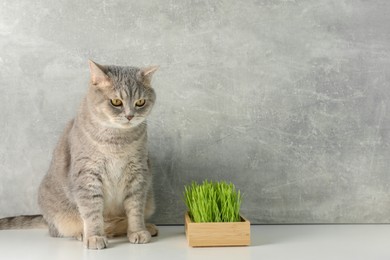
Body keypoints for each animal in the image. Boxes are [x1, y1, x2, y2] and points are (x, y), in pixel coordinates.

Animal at [0, 60, 158, 249]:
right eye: (116, 102)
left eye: (140, 102)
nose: (130, 116)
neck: (117, 140)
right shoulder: (87, 175)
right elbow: (92, 212)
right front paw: (94, 236)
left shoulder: (138, 173)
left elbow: (135, 209)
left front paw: (138, 231)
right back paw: (83, 234)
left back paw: (147, 227)